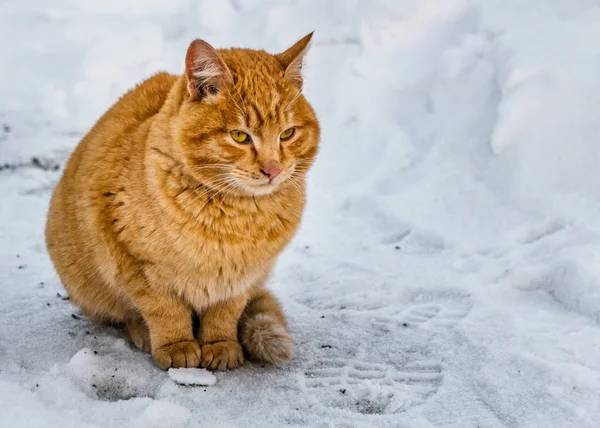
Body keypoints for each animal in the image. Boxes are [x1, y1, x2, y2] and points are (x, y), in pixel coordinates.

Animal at [44, 33, 318, 370]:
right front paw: (176, 345)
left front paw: (220, 343)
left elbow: (225, 312)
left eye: (288, 134)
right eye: (240, 136)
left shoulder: (243, 278)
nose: (273, 170)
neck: (236, 217)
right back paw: (143, 333)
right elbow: (164, 309)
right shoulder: (135, 264)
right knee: (122, 314)